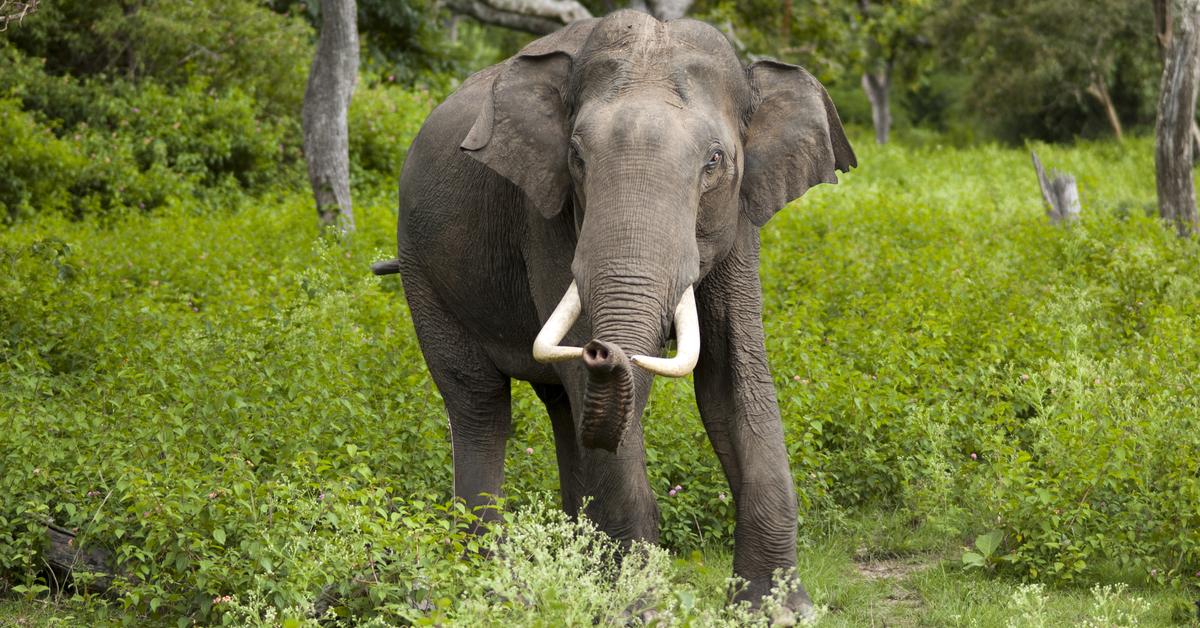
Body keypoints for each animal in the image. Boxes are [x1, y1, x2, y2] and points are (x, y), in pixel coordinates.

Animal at [374, 6, 854, 614]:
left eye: (715, 162)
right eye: (577, 157)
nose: (603, 350)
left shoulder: (741, 218)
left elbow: (732, 379)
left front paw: (778, 611)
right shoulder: (545, 214)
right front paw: (639, 609)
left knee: (562, 408)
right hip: (422, 270)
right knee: (480, 404)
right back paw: (496, 586)